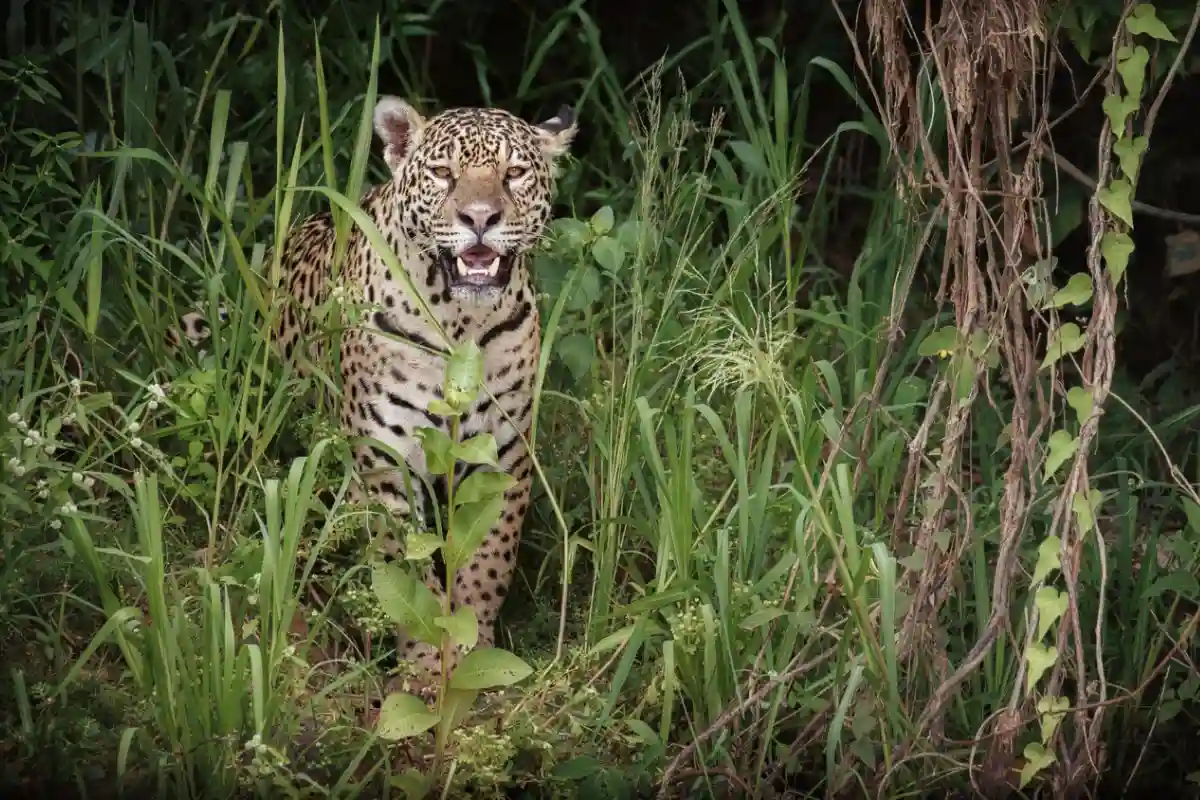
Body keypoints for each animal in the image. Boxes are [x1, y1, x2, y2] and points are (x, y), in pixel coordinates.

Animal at [171, 96, 578, 686]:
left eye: (515, 174)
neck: (461, 324)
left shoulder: (502, 456)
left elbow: (487, 563)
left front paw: (473, 657)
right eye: (443, 173)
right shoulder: (386, 460)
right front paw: (427, 666)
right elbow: (404, 570)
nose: (480, 219)